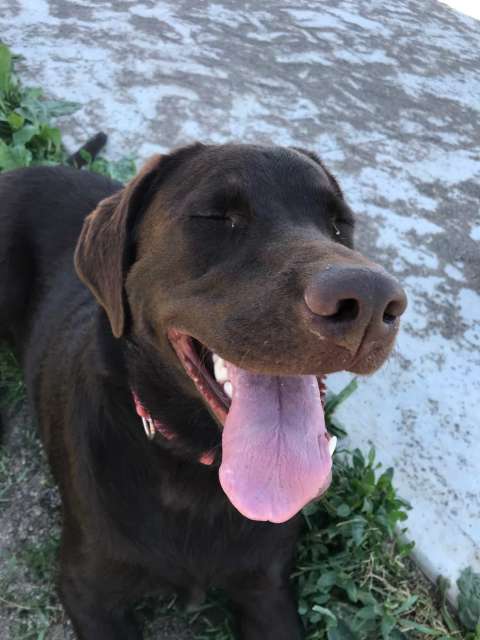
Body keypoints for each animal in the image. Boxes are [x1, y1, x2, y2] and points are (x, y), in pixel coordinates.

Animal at [0, 142, 406, 636]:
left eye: (339, 225)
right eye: (216, 217)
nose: (371, 300)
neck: (194, 470)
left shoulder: (268, 590)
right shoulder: (87, 589)